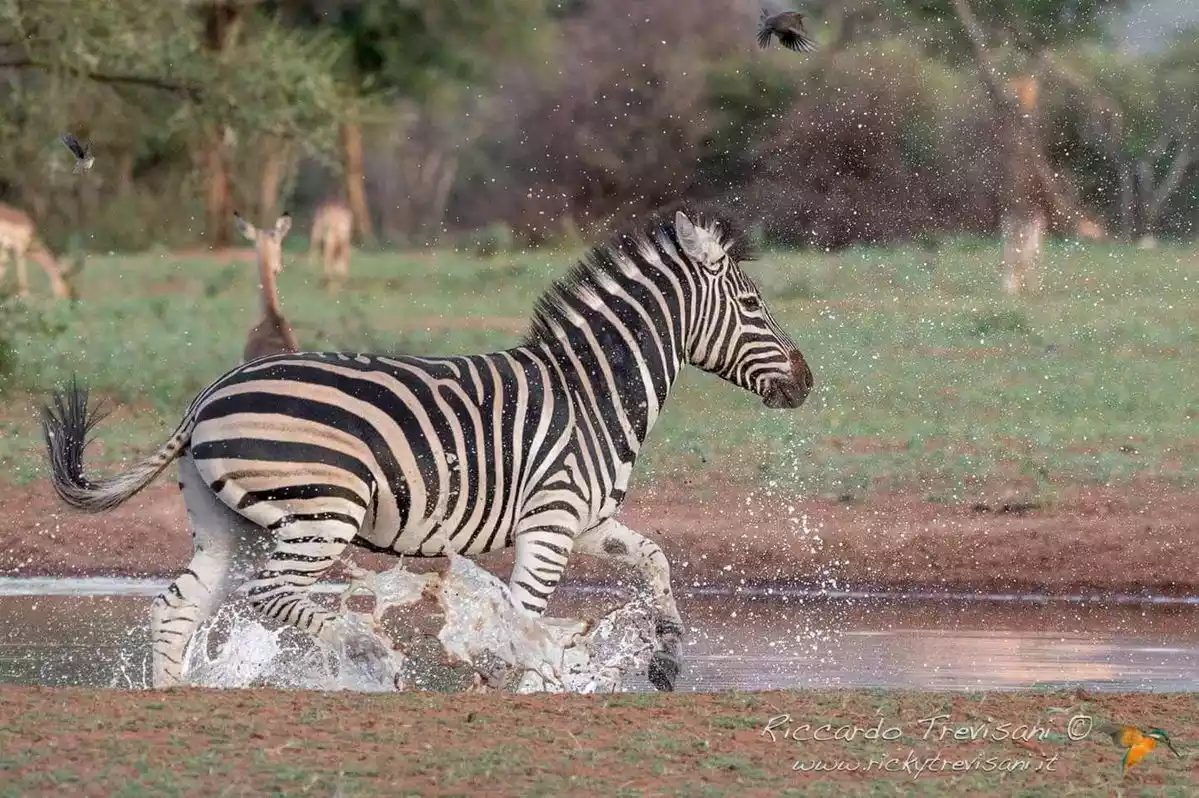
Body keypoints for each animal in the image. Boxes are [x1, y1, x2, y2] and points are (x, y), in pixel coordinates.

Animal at [41, 204, 815, 692]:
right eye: (753, 307)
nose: (807, 380)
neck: (590, 392)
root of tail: (207, 395)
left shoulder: (585, 518)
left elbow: (656, 560)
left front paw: (667, 661)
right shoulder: (552, 519)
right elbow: (523, 615)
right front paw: (514, 681)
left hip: (226, 521)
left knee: (179, 607)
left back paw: (176, 694)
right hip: (321, 512)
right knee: (272, 594)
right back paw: (365, 654)